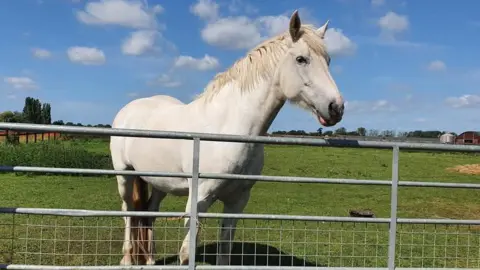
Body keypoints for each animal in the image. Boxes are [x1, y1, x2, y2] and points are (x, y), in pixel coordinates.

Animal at [110, 10, 344, 266]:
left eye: (328, 60)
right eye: (301, 59)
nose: (336, 108)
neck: (228, 130)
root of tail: (130, 108)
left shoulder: (237, 201)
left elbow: (225, 246)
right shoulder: (199, 200)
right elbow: (186, 253)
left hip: (159, 182)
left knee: (149, 213)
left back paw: (151, 259)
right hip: (125, 176)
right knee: (128, 212)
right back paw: (127, 259)